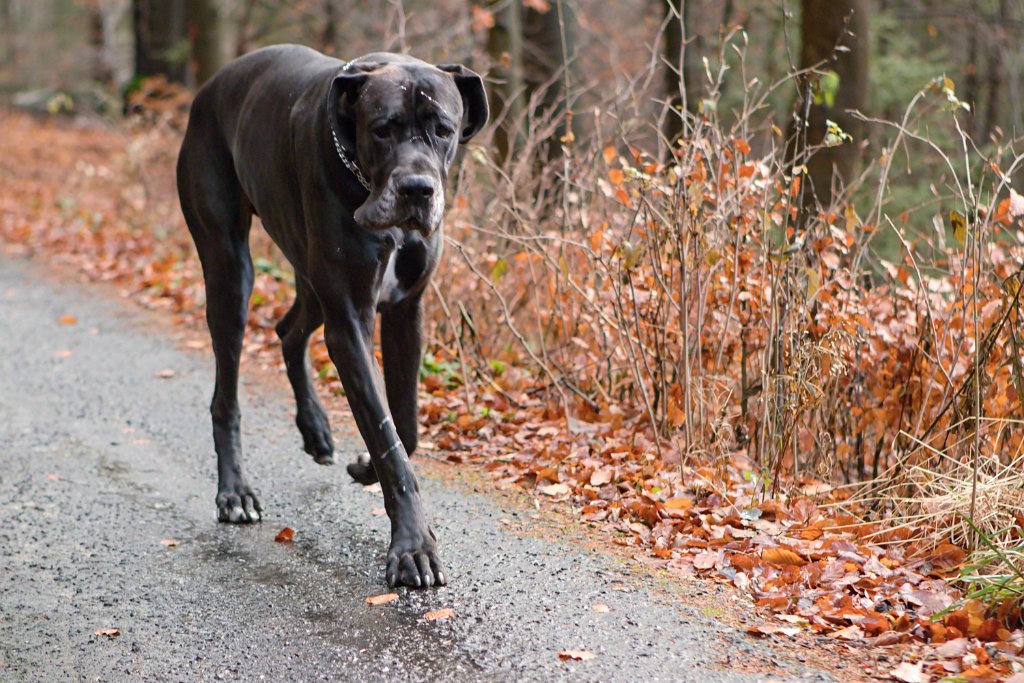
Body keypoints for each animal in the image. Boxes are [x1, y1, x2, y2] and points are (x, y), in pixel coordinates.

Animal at [175, 45, 487, 589]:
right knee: (225, 394)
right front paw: (413, 547)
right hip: (230, 271)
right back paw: (235, 492)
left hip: (309, 277)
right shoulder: (350, 321)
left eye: (443, 129)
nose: (416, 189)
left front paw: (367, 468)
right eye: (382, 129)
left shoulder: (406, 311)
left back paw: (315, 428)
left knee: (287, 330)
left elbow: (404, 426)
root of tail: (208, 90)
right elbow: (386, 434)